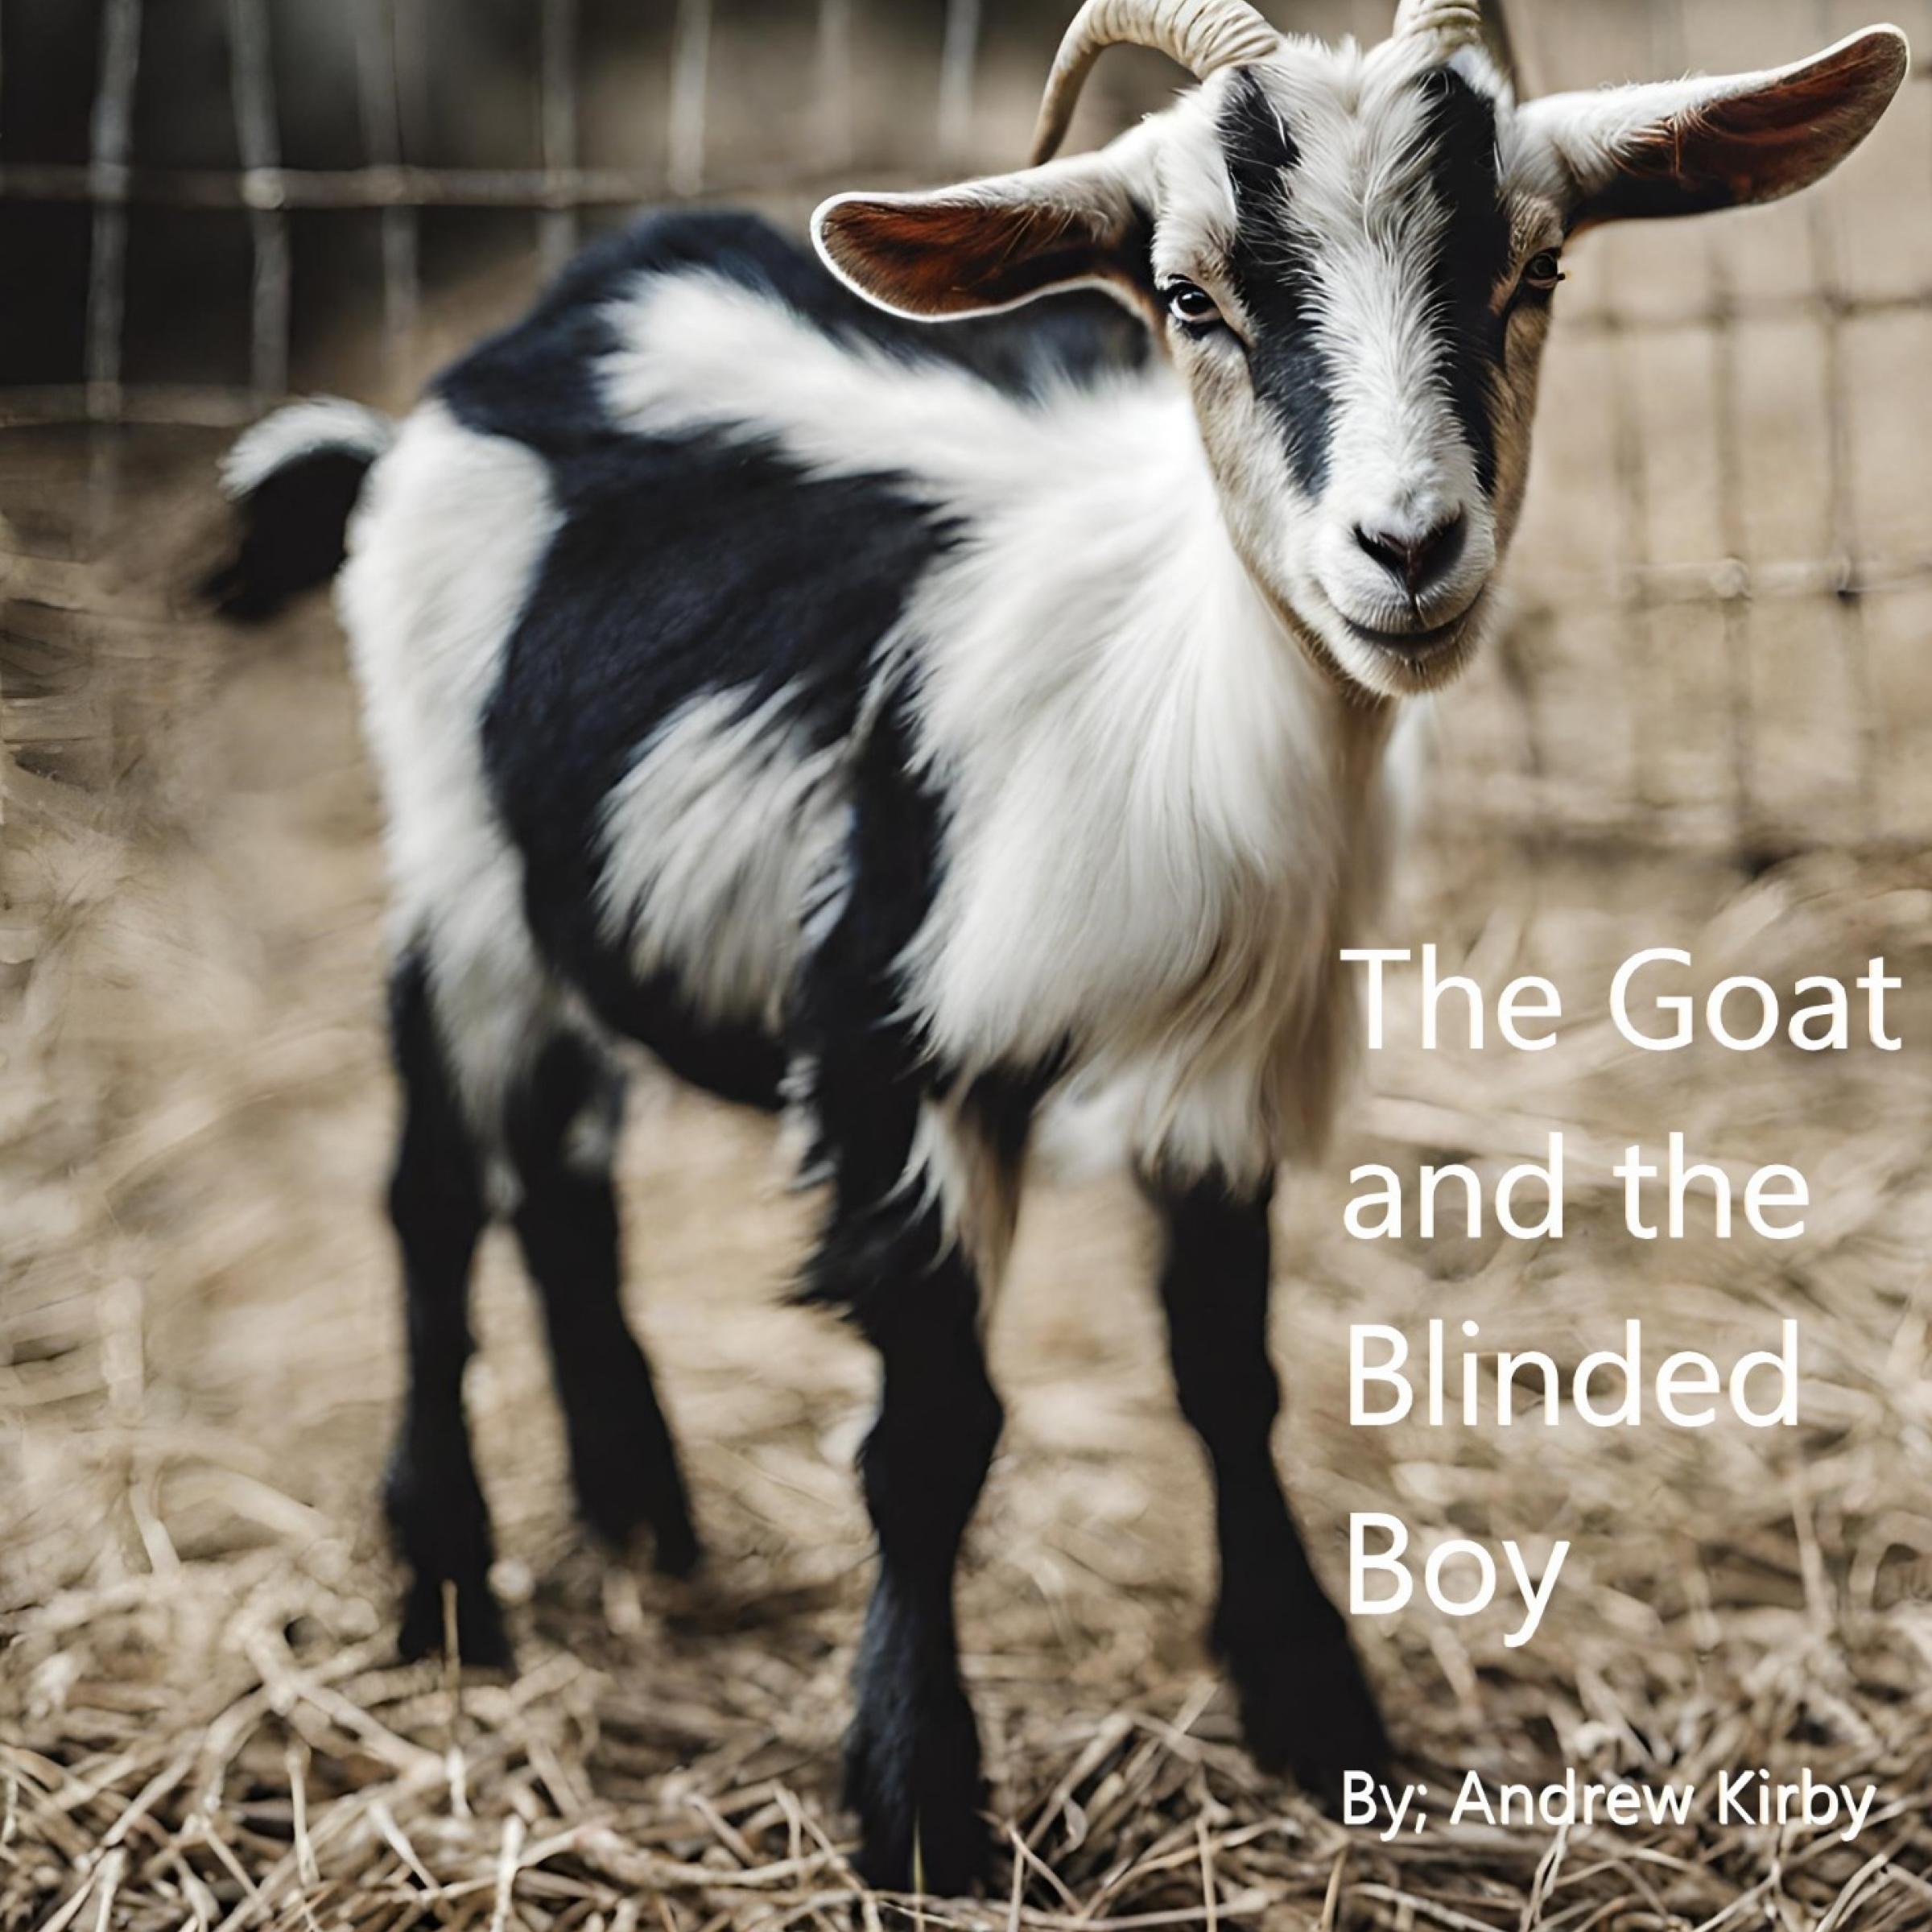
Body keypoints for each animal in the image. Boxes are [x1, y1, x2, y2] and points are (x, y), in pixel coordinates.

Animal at [212, 0, 1908, 1893]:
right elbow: (932, 1437)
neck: (1166, 700)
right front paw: (917, 1799)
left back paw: (643, 1514)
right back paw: (448, 1579)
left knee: (566, 1177)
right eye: (1188, 298)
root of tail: (491, 360)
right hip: (456, 859)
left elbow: (1229, 1379)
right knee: (437, 1186)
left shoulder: (1226, 1072)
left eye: (1531, 269)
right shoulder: (892, 1045)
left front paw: (1312, 1706)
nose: (1407, 550)